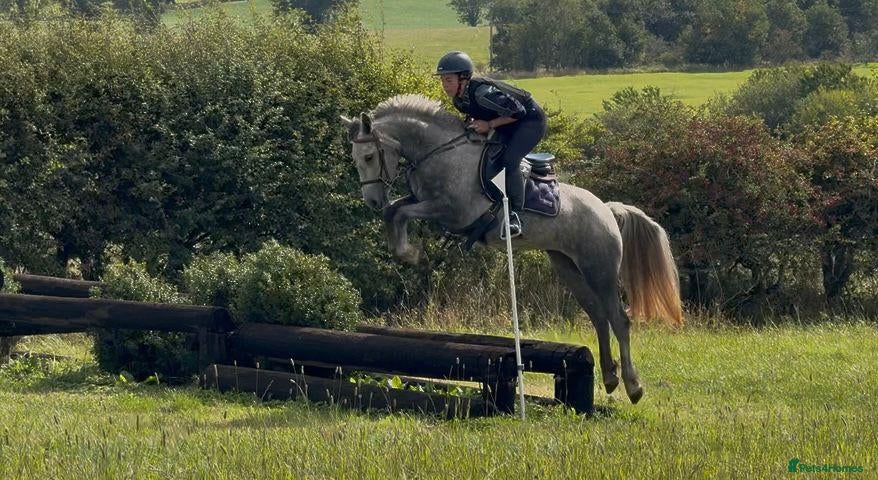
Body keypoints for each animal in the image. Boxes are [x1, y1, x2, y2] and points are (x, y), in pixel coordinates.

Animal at [341, 94, 683, 404]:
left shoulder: (452, 211)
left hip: (599, 268)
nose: (372, 201)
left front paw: (410, 253)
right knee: (599, 316)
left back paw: (633, 386)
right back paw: (610, 377)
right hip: (568, 267)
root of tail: (607, 210)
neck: (440, 153)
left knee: (618, 319)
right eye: (356, 159)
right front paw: (404, 250)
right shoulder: (425, 202)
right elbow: (395, 211)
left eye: (369, 157)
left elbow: (401, 213)